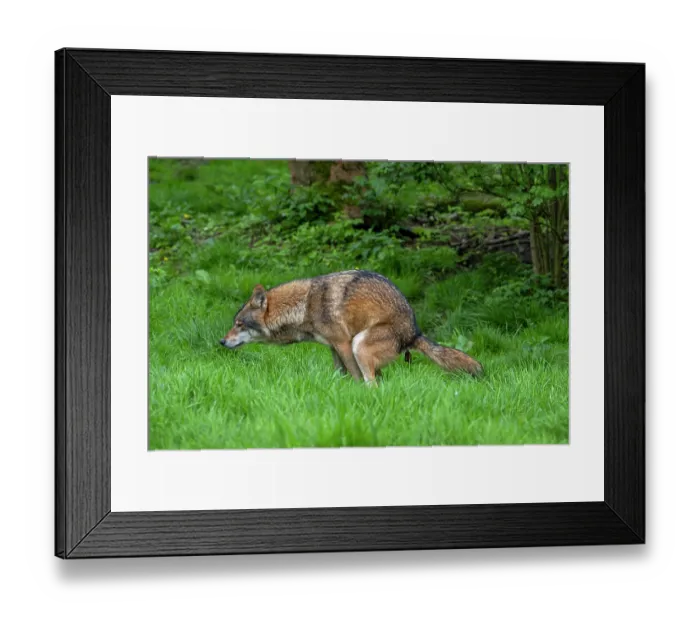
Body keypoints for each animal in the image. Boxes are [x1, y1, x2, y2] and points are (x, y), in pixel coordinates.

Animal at [219, 270, 483, 384]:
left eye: (239, 324)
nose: (221, 341)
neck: (304, 306)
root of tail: (414, 332)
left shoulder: (344, 344)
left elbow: (355, 377)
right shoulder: (333, 348)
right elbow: (339, 374)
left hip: (359, 345)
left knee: (372, 384)